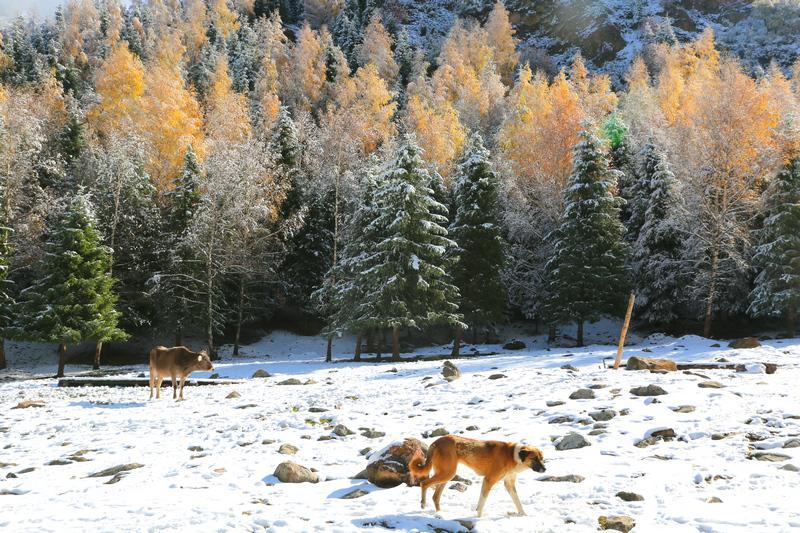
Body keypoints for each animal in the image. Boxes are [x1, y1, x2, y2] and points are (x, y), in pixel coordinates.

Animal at [412, 436, 544, 516]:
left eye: (542, 458)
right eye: (534, 459)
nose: (545, 469)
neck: (513, 456)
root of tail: (436, 442)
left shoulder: (509, 484)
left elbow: (517, 501)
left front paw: (523, 515)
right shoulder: (488, 480)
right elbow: (482, 501)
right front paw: (479, 517)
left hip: (446, 475)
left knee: (435, 496)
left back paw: (440, 513)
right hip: (447, 473)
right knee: (424, 483)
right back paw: (423, 503)